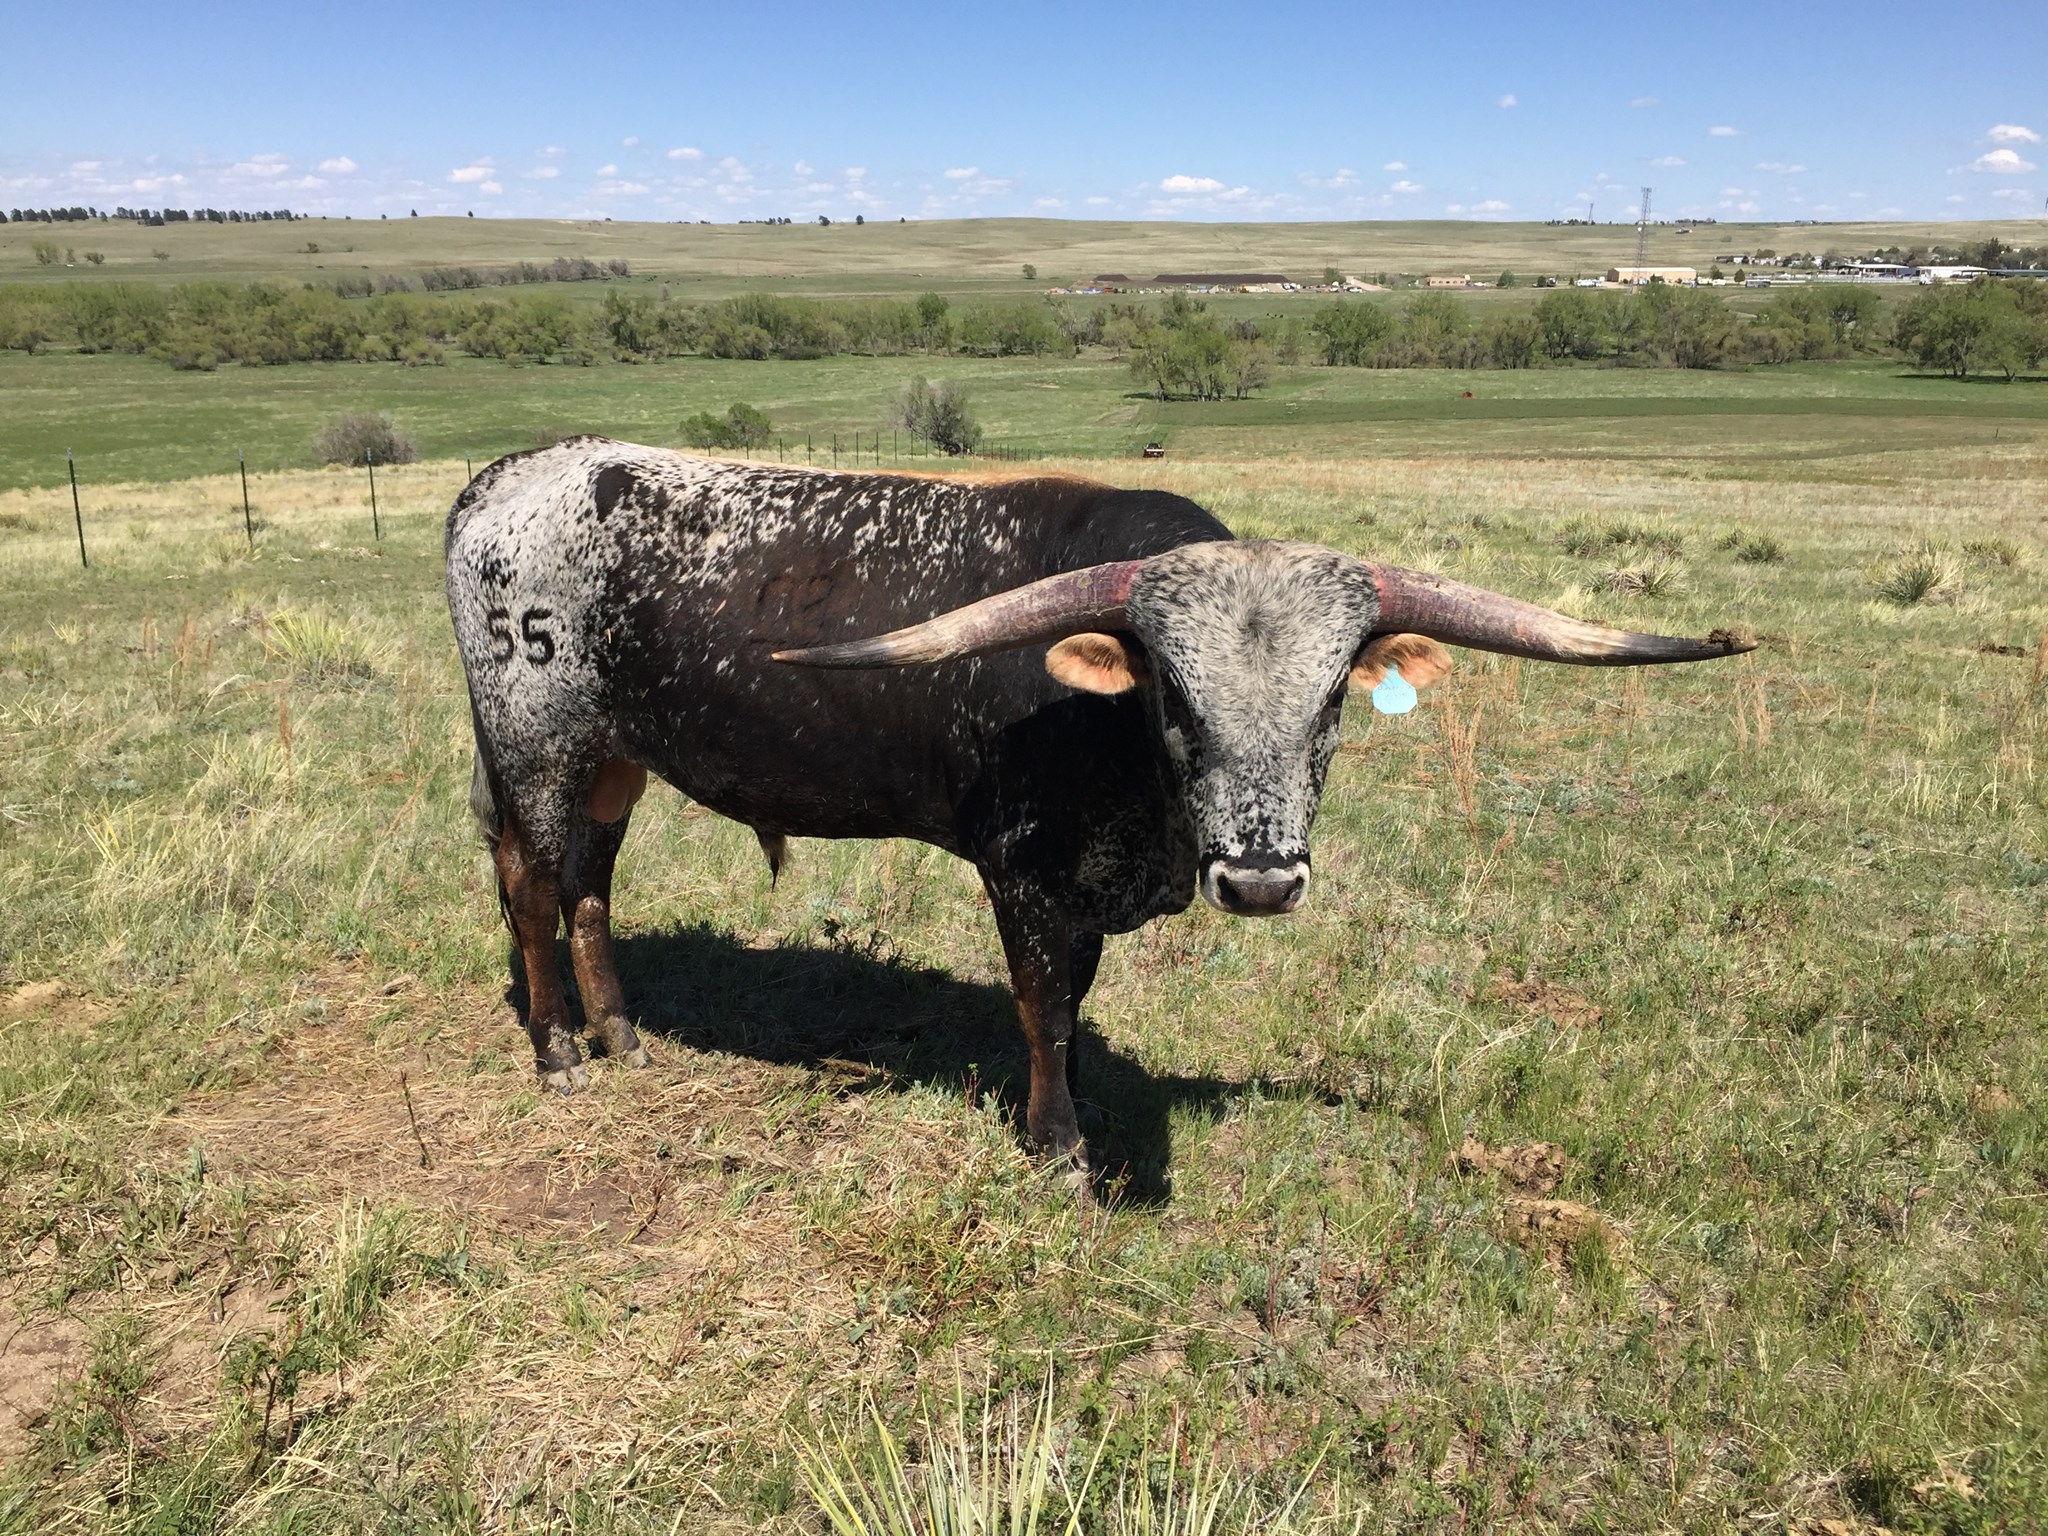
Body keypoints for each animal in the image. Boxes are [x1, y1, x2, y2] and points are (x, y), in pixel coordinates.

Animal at [446, 438, 1750, 1176]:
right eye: (1169, 690)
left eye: (1335, 693)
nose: (1259, 877)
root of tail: (512, 477)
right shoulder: (1025, 876)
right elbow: (1045, 1010)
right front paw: (1060, 1144)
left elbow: (1073, 1003)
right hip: (534, 743)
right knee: (532, 885)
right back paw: (558, 1050)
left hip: (612, 758)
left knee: (589, 886)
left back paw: (621, 1035)